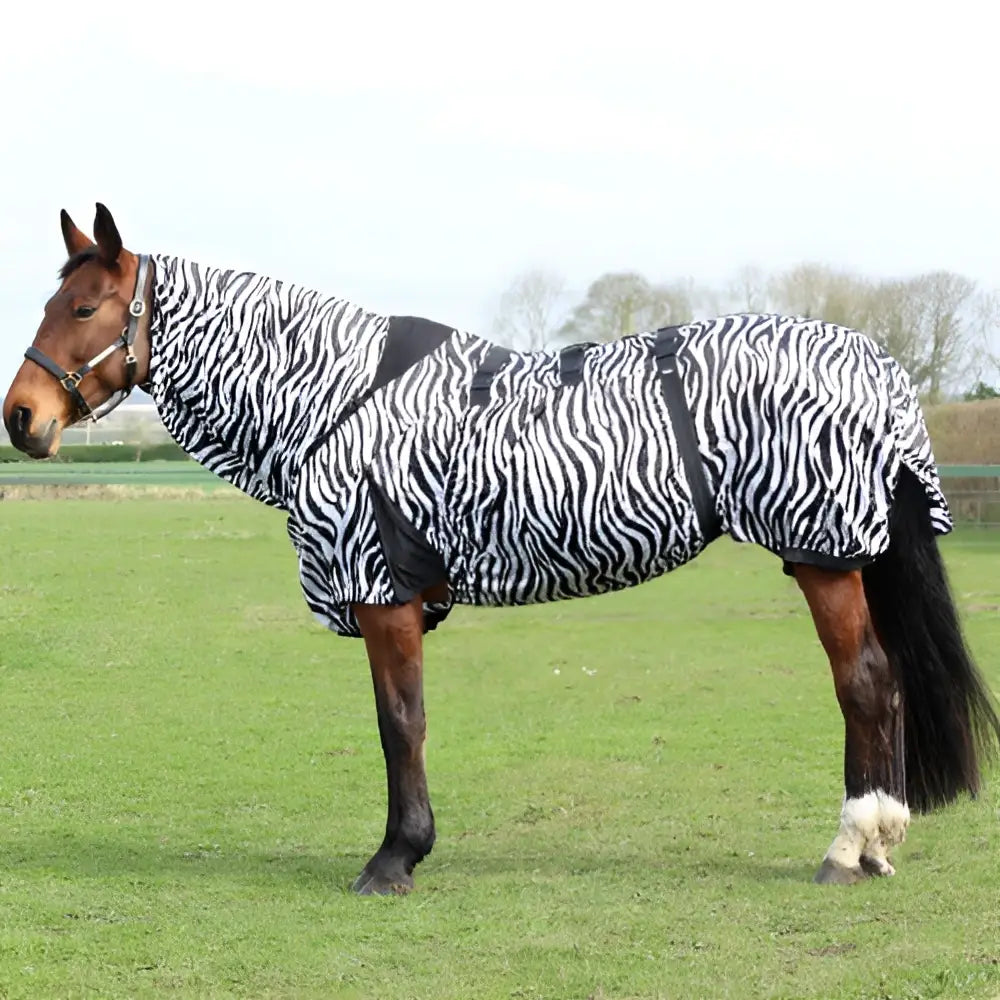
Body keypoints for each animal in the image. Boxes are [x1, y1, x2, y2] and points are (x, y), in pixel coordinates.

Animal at [4, 203, 998, 895]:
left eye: (84, 306)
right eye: (53, 300)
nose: (21, 417)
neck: (338, 398)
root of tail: (873, 363)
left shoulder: (385, 592)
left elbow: (400, 722)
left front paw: (396, 858)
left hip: (823, 557)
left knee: (866, 683)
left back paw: (850, 844)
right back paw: (873, 845)